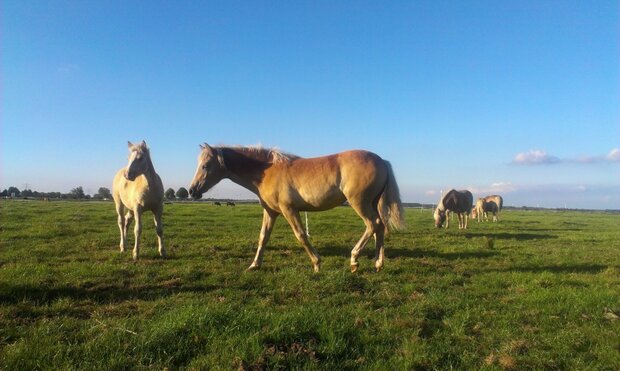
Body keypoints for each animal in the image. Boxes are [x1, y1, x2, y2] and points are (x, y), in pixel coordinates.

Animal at [186, 145, 404, 274]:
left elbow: (301, 235)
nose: (192, 191)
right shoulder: (271, 212)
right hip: (371, 203)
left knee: (373, 225)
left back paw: (354, 259)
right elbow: (263, 237)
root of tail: (381, 161)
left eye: (205, 165)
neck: (266, 171)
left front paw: (317, 263)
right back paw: (378, 263)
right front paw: (254, 265)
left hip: (360, 203)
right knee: (380, 228)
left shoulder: (289, 210)